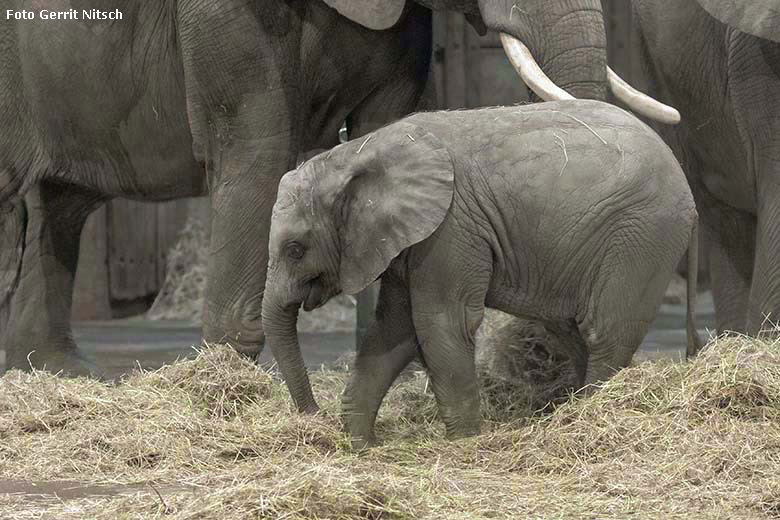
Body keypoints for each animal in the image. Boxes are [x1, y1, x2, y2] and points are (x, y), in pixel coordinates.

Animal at [0, 0, 672, 376]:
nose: (539, 356)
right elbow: (258, 151)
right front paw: (225, 389)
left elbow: (386, 129)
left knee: (63, 205)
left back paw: (57, 373)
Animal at [262, 98, 700, 446]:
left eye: (295, 249)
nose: (314, 418)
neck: (355, 154)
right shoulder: (414, 239)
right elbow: (393, 328)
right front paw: (359, 445)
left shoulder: (452, 228)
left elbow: (440, 323)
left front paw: (464, 444)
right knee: (572, 331)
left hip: (642, 234)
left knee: (605, 333)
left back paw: (587, 417)